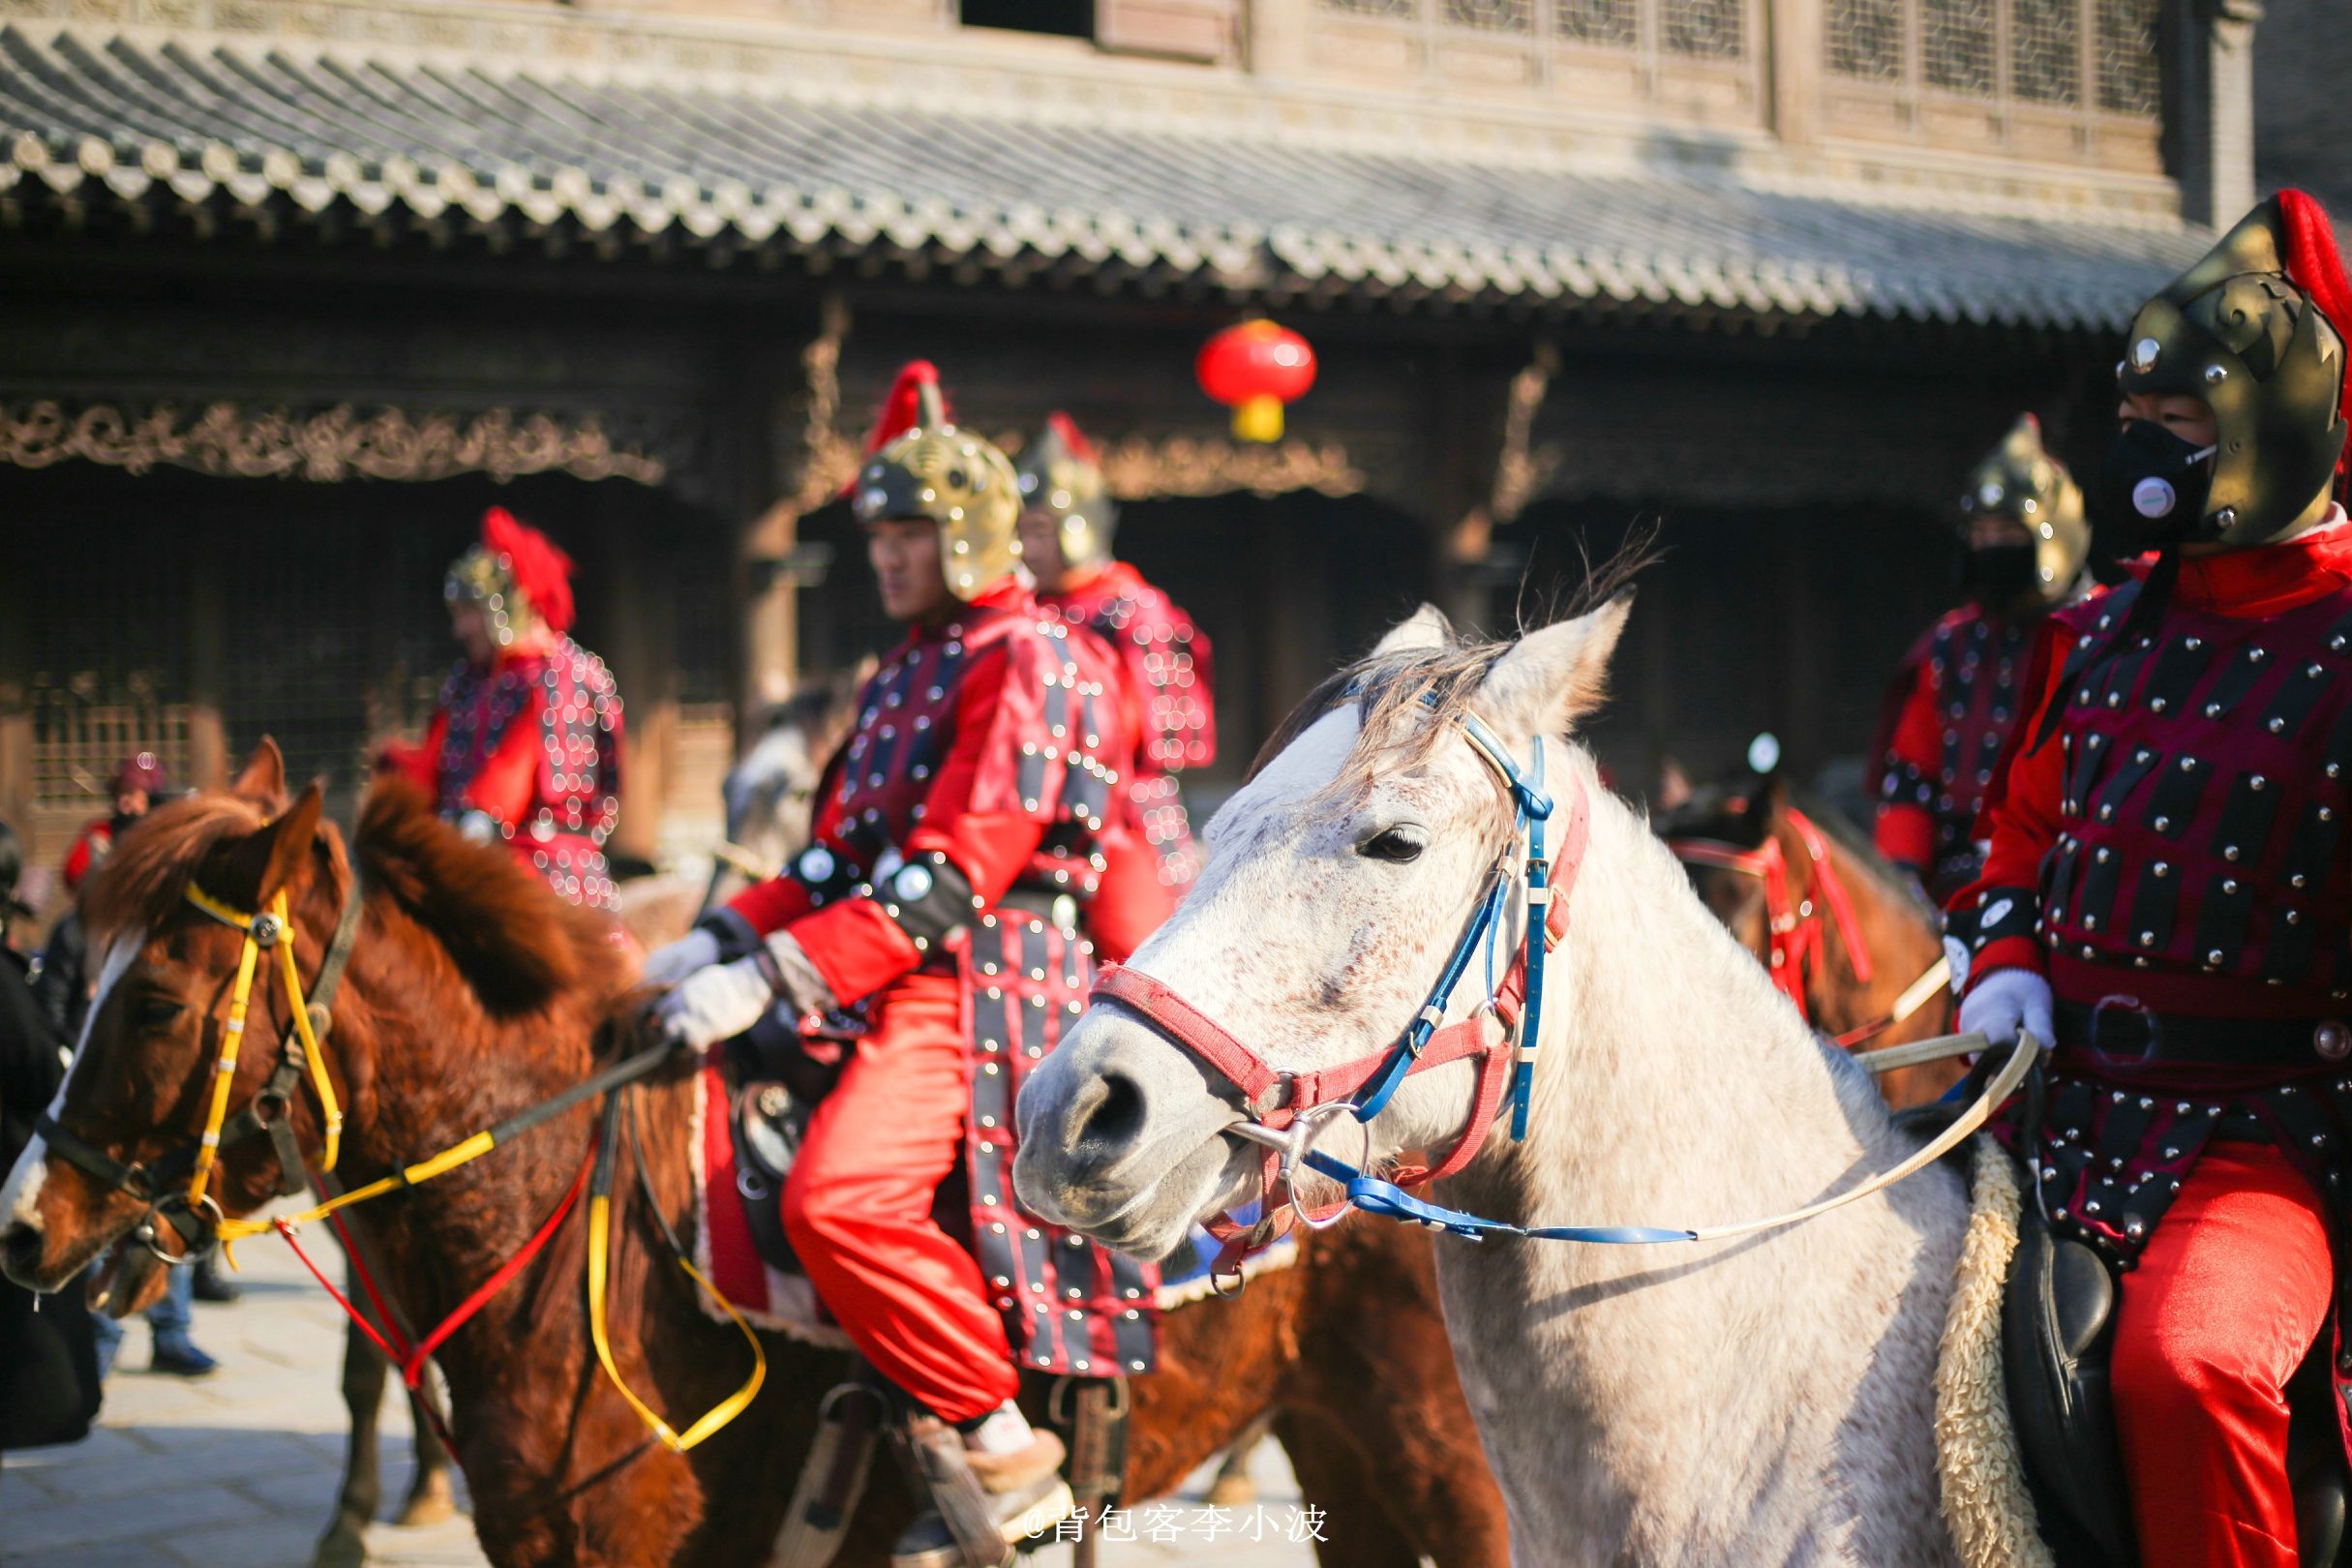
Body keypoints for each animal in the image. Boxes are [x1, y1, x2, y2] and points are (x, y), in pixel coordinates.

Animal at [0, 752, 1495, 1568]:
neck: (558, 1222)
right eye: (73, 974)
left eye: (154, 1002)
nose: (26, 1221)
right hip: (1335, 1428)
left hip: (1444, 1447)